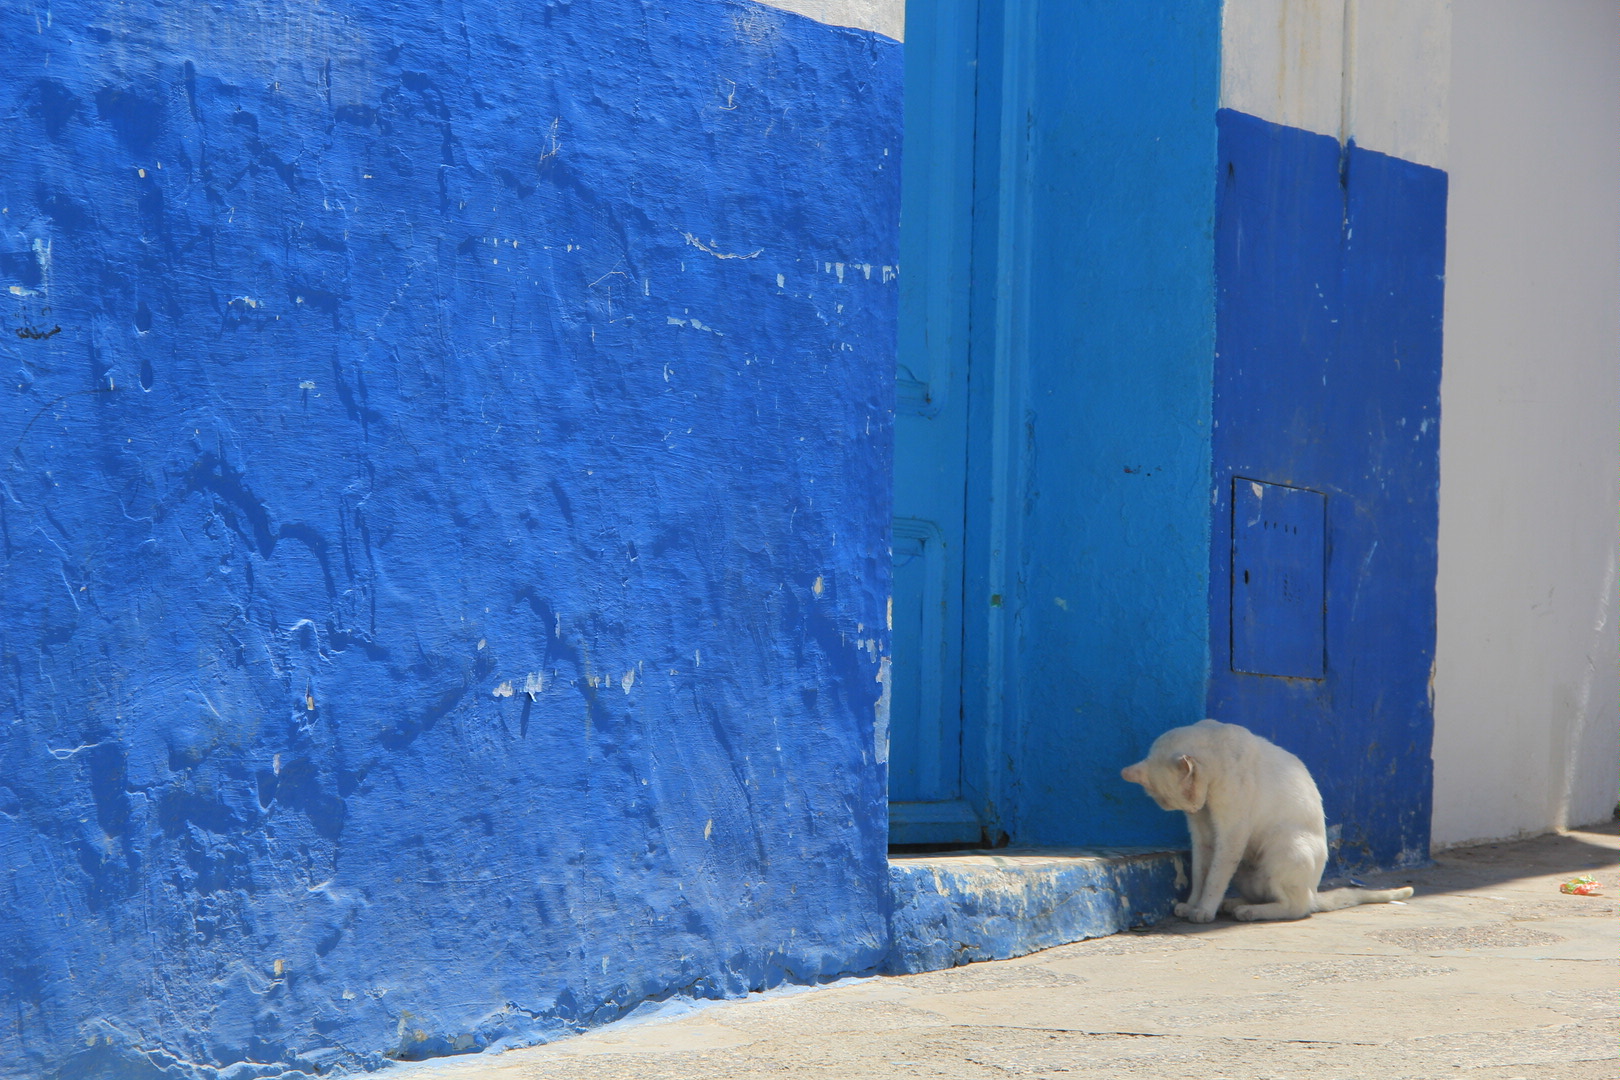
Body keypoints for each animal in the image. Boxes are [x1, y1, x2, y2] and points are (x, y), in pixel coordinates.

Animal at [1121, 722, 1412, 926]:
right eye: (1177, 804)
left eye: (1190, 794)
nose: (1193, 808)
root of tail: (1313, 890)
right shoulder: (1202, 834)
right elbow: (1200, 872)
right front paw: (1193, 905)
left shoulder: (1232, 832)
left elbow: (1215, 876)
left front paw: (1203, 910)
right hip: (1248, 869)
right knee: (1271, 896)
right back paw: (1234, 904)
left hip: (1285, 848)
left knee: (1297, 907)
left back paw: (1247, 911)